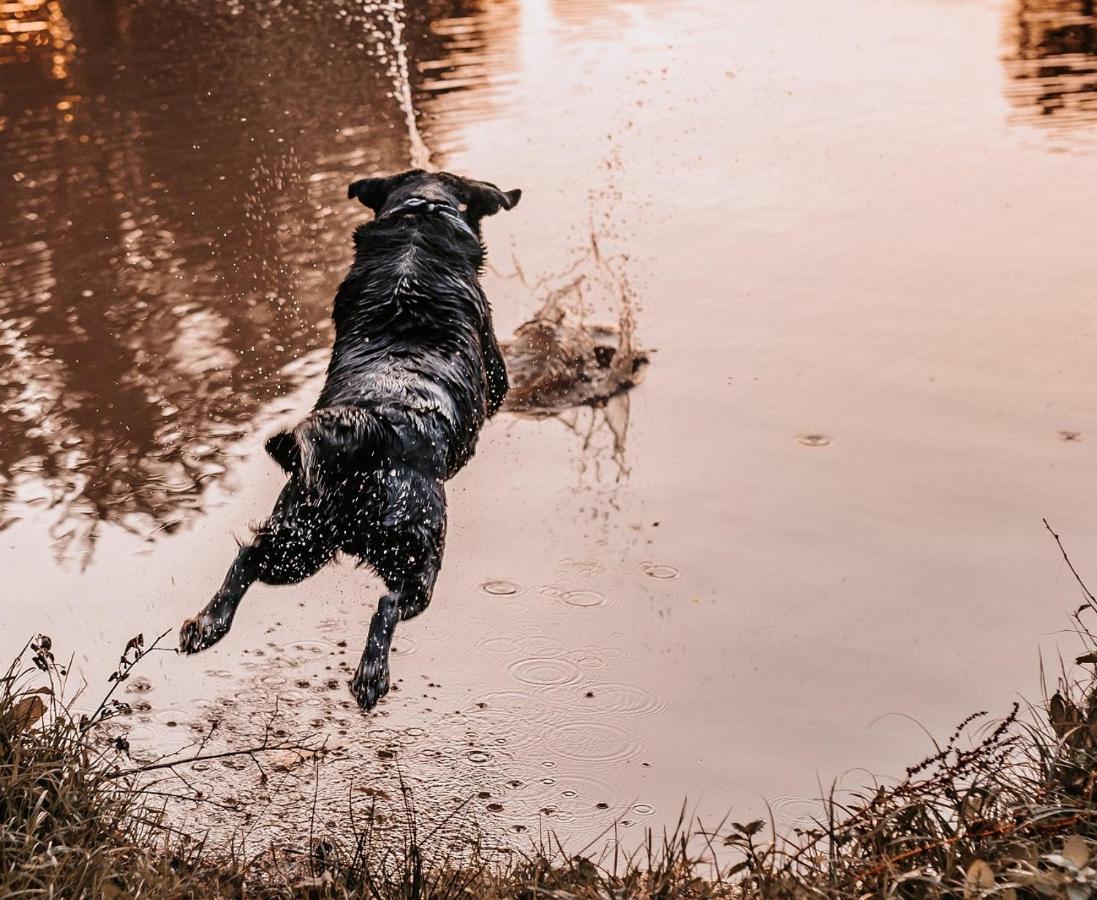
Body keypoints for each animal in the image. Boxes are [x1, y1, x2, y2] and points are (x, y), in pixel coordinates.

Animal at [177, 169, 519, 711]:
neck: (420, 223)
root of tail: (374, 427)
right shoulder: (495, 363)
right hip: (418, 556)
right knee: (387, 605)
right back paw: (370, 676)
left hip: (300, 539)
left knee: (249, 556)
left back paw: (208, 624)